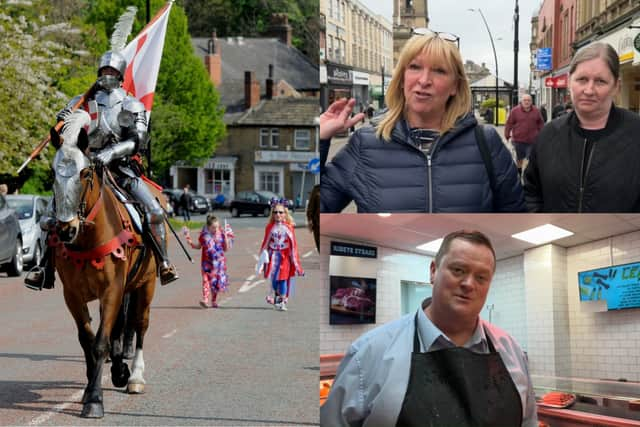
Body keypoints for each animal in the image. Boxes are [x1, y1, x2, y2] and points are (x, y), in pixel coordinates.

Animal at [50, 109, 164, 418]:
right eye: (53, 173)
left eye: (85, 172)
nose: (66, 230)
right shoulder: (73, 295)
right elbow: (88, 340)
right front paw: (91, 386)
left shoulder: (112, 289)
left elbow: (101, 342)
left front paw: (94, 399)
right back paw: (120, 370)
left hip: (146, 285)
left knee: (140, 324)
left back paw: (135, 376)